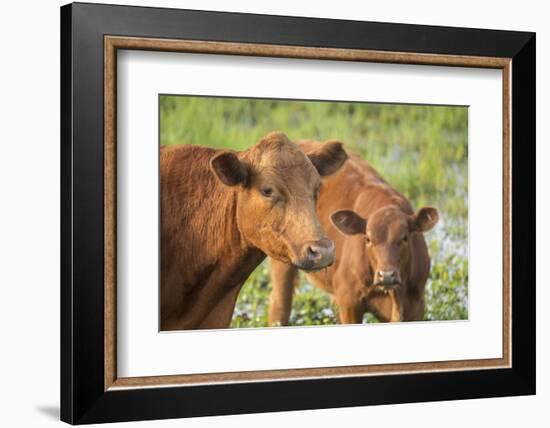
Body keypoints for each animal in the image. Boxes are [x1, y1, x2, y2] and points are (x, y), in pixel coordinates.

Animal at [268, 140, 440, 324]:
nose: (386, 275)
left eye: (405, 238)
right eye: (368, 239)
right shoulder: (349, 301)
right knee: (279, 306)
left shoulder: (416, 305)